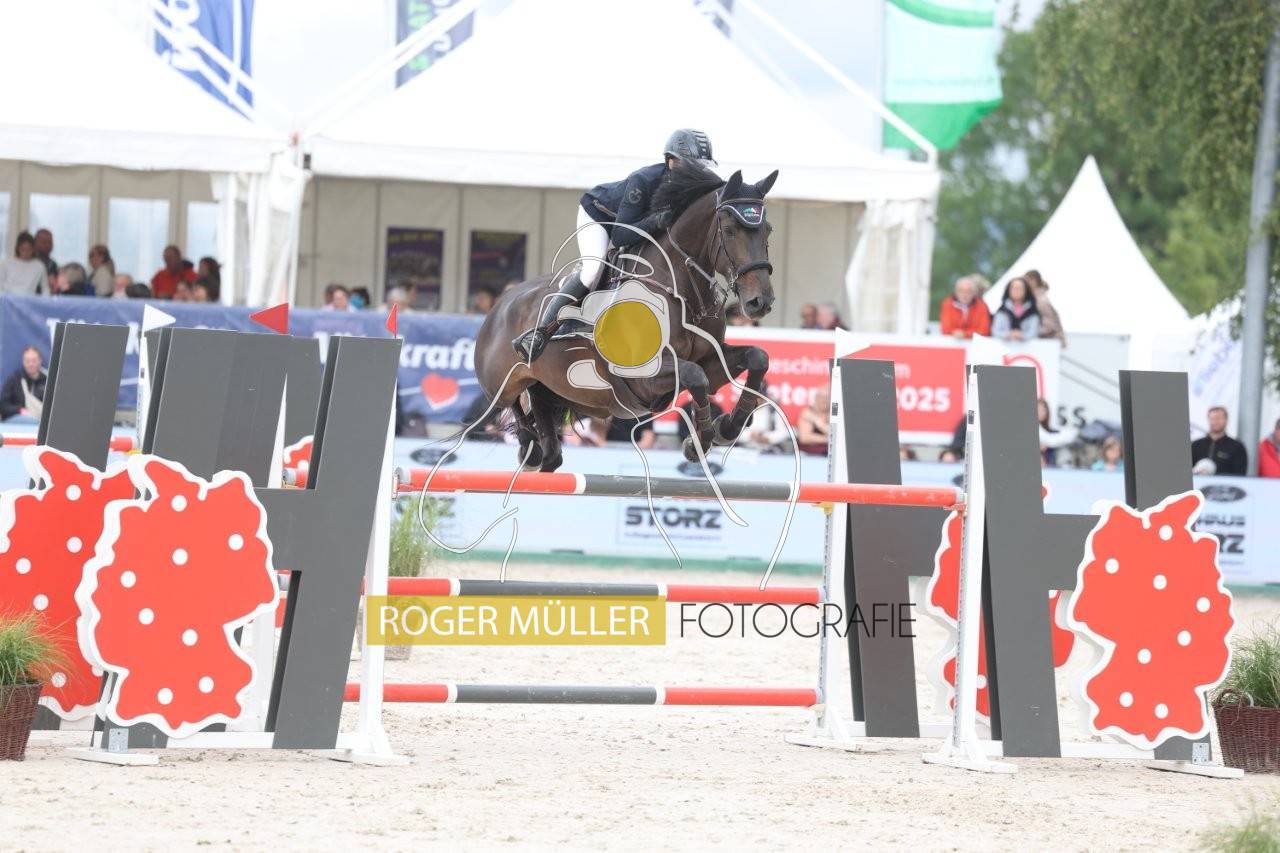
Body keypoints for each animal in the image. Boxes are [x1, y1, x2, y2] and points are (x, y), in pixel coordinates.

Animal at [474, 165, 778, 473]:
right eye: (729, 231)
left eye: (768, 229)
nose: (760, 302)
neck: (681, 294)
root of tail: (502, 302)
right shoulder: (642, 376)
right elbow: (695, 375)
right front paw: (700, 442)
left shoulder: (711, 361)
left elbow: (756, 358)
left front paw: (726, 428)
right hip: (500, 379)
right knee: (508, 400)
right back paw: (529, 441)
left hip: (552, 388)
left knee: (546, 433)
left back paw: (540, 453)